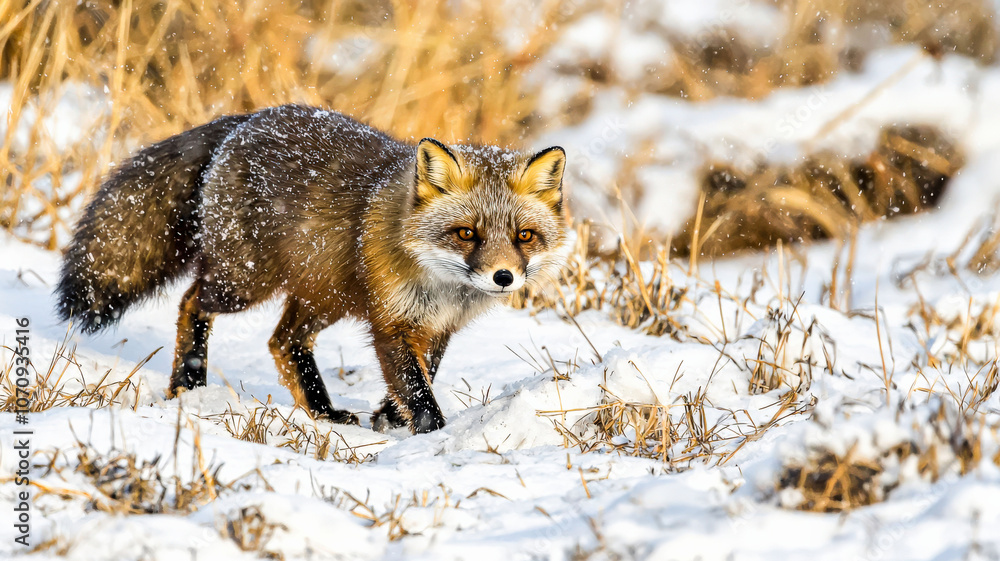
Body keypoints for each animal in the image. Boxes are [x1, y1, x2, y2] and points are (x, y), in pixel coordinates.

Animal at [55, 104, 568, 434]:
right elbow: (418, 389)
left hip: (324, 296)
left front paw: (389, 417)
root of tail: (246, 120)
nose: (504, 277)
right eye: (466, 234)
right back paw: (189, 384)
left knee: (284, 341)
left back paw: (322, 410)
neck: (444, 289)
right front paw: (433, 433)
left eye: (524, 236)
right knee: (191, 303)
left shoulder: (438, 327)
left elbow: (423, 376)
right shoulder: (393, 323)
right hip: (244, 284)